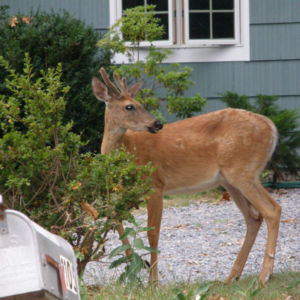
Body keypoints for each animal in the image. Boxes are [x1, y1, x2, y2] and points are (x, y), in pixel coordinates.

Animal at [91, 68, 282, 286]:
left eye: (140, 103)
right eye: (129, 106)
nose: (157, 123)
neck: (128, 150)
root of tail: (272, 127)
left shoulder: (155, 184)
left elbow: (153, 234)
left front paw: (152, 283)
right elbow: (115, 220)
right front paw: (136, 268)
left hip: (243, 171)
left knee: (272, 210)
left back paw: (264, 276)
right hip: (229, 180)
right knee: (253, 218)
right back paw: (232, 277)